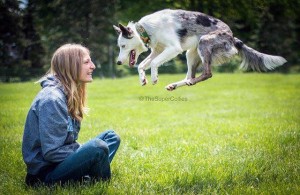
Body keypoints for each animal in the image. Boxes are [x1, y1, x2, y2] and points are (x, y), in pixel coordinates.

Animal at [112, 8, 286, 91]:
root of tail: (232, 37)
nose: (118, 62)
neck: (145, 30)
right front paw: (143, 79)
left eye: (123, 46)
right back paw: (176, 85)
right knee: (191, 76)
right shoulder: (158, 51)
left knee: (207, 74)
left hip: (204, 43)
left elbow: (154, 63)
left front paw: (154, 78)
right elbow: (142, 65)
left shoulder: (173, 48)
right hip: (190, 54)